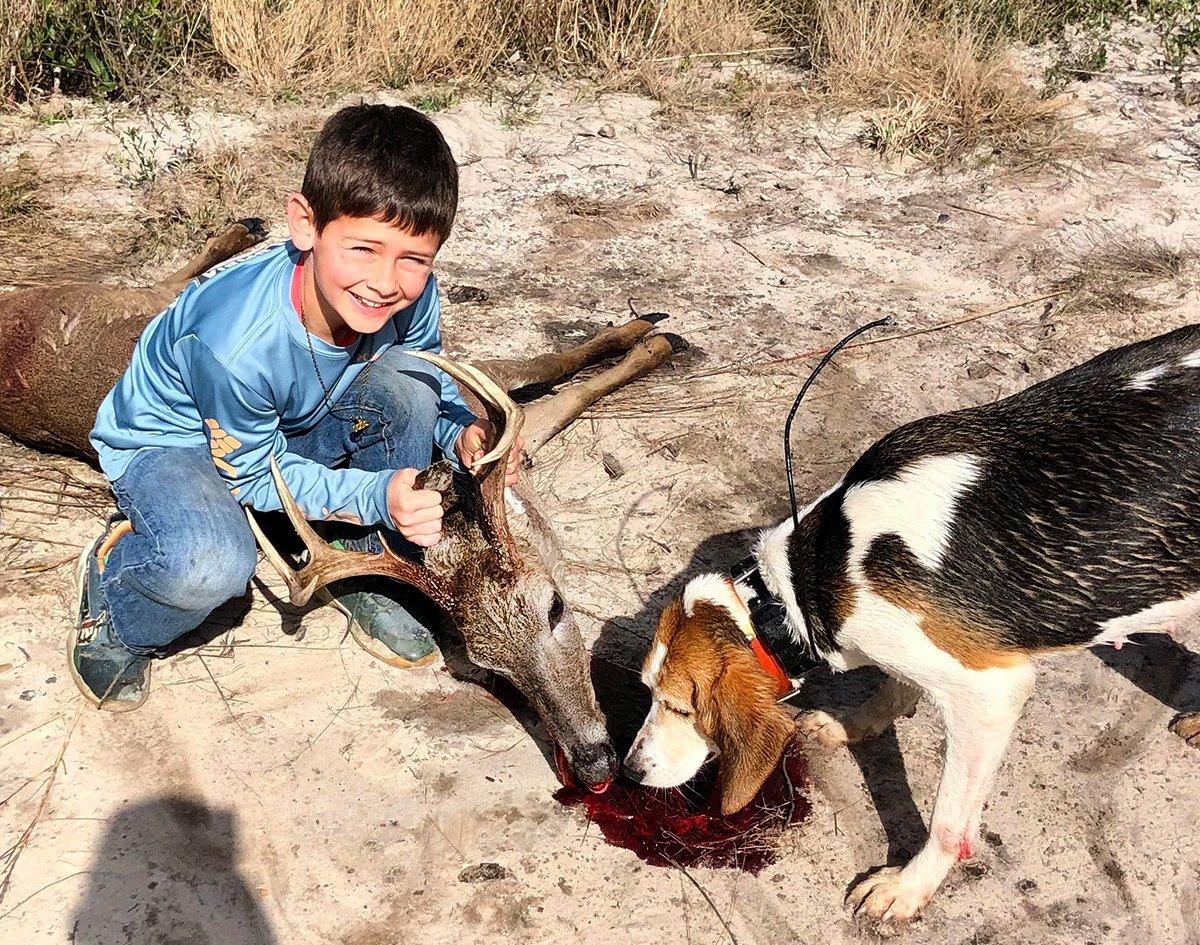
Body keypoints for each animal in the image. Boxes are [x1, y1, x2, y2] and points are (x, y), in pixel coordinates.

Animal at [0, 221, 681, 791]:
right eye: (491, 669)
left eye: (556, 608)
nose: (594, 766)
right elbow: (556, 378)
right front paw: (655, 338)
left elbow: (551, 366)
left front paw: (652, 329)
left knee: (170, 283)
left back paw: (244, 233)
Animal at [624, 321, 1195, 921]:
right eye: (648, 691)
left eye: (680, 707)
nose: (629, 772)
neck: (809, 576)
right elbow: (893, 686)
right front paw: (854, 724)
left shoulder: (991, 695)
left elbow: (947, 823)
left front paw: (908, 886)